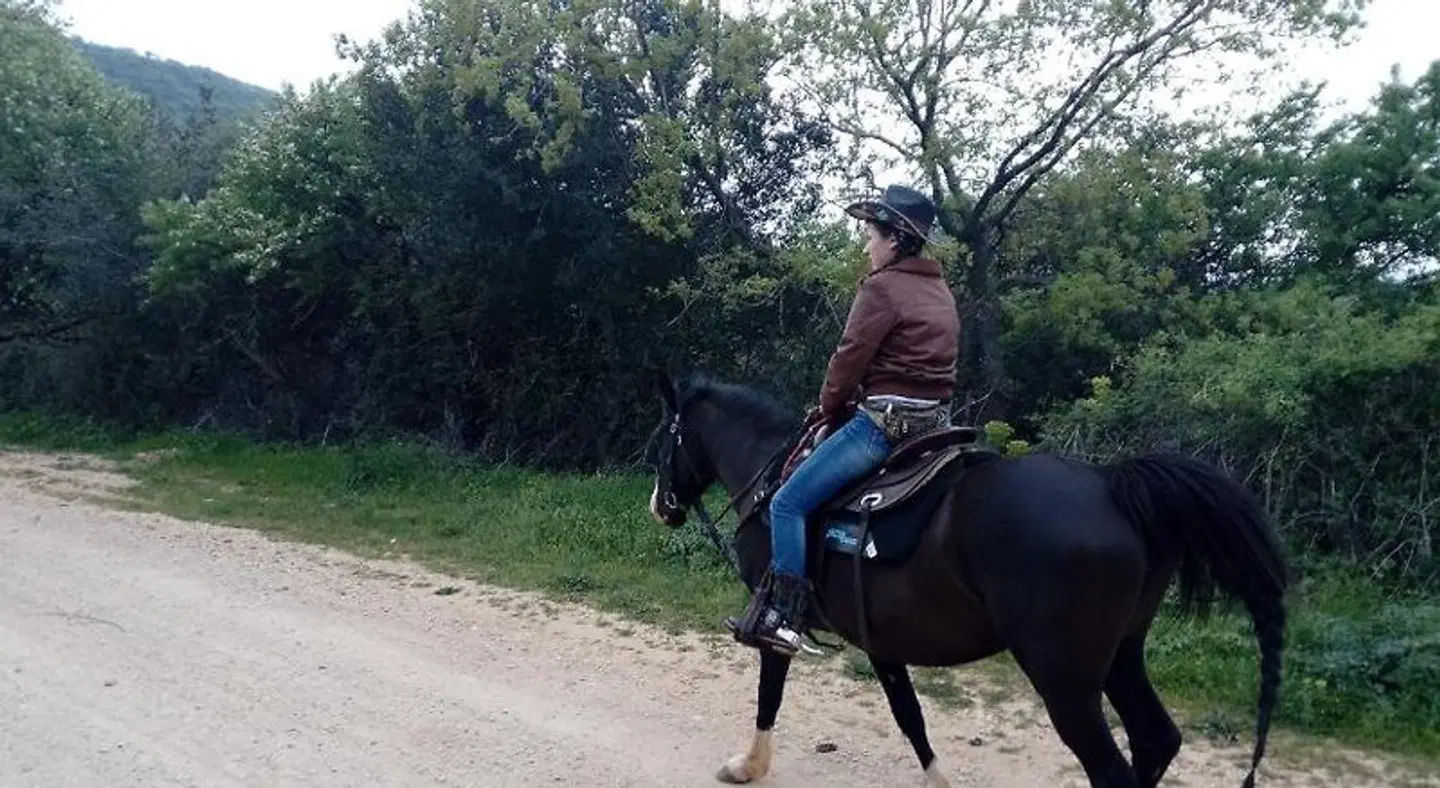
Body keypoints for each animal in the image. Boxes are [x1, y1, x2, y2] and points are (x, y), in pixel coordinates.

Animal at [644, 371, 1288, 788]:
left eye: (665, 439)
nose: (661, 505)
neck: (776, 479)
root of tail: (1111, 486)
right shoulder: (883, 640)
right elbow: (910, 717)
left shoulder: (776, 621)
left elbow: (769, 696)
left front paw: (746, 767)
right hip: (1122, 654)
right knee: (1156, 740)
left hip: (1064, 677)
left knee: (1114, 771)